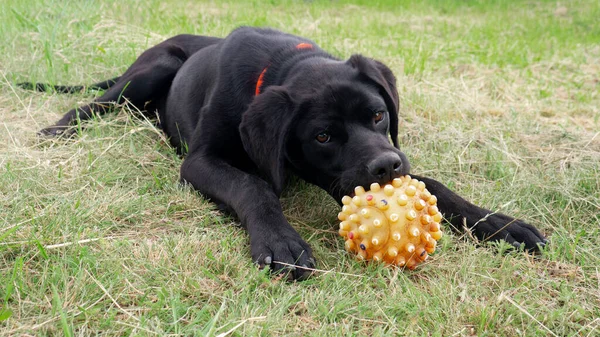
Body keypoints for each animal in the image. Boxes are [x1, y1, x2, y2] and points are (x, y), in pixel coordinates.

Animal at [24, 26, 548, 278]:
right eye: (323, 137)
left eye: (379, 115)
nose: (387, 165)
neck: (280, 64)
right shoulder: (200, 161)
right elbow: (253, 185)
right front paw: (281, 242)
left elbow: (435, 185)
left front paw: (502, 225)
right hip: (147, 74)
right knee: (92, 103)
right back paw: (57, 131)